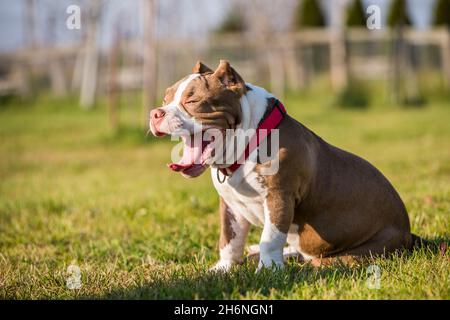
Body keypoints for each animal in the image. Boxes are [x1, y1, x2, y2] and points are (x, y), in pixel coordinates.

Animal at [149, 60, 420, 270]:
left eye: (193, 101)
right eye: (165, 98)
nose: (155, 113)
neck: (246, 145)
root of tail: (408, 235)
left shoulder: (279, 196)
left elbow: (271, 238)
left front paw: (269, 270)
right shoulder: (230, 206)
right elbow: (229, 240)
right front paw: (223, 268)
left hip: (366, 249)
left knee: (322, 260)